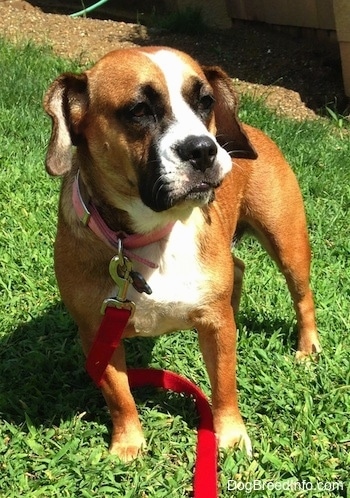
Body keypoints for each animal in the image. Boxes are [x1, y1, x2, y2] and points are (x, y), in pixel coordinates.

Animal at [43, 47, 320, 462]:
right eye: (139, 110)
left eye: (205, 102)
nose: (203, 148)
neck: (154, 232)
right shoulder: (97, 334)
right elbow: (120, 396)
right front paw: (128, 444)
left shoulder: (217, 332)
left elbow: (224, 385)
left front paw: (230, 436)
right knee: (238, 268)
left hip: (287, 243)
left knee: (302, 295)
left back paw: (308, 347)